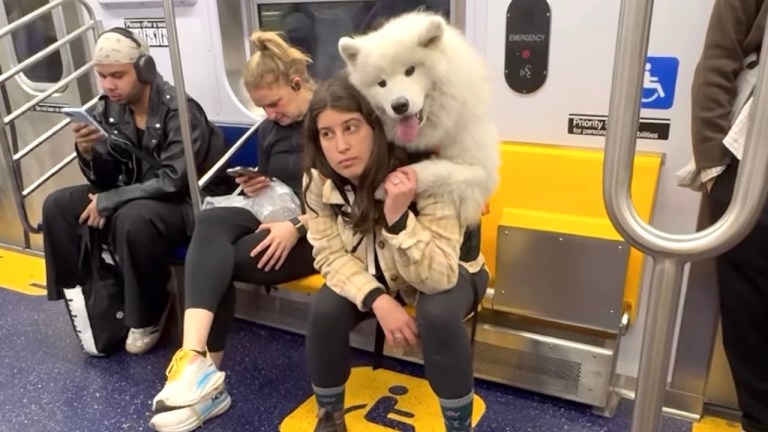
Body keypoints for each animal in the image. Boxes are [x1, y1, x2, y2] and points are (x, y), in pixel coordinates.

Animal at [340, 10, 500, 226]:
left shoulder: (481, 171)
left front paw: (385, 186)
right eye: (382, 83)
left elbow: (434, 169)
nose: (399, 105)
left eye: (410, 71)